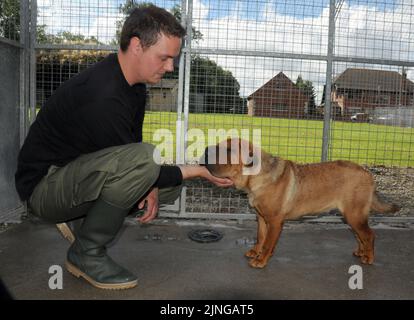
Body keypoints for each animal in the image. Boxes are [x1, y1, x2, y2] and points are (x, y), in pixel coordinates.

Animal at [202, 138, 400, 268]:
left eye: (229, 151)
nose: (205, 150)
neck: (255, 177)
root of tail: (368, 174)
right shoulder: (261, 218)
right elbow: (261, 237)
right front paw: (255, 251)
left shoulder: (275, 222)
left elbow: (268, 243)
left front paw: (261, 260)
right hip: (351, 216)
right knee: (360, 236)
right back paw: (361, 252)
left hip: (355, 215)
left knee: (369, 235)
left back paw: (369, 257)